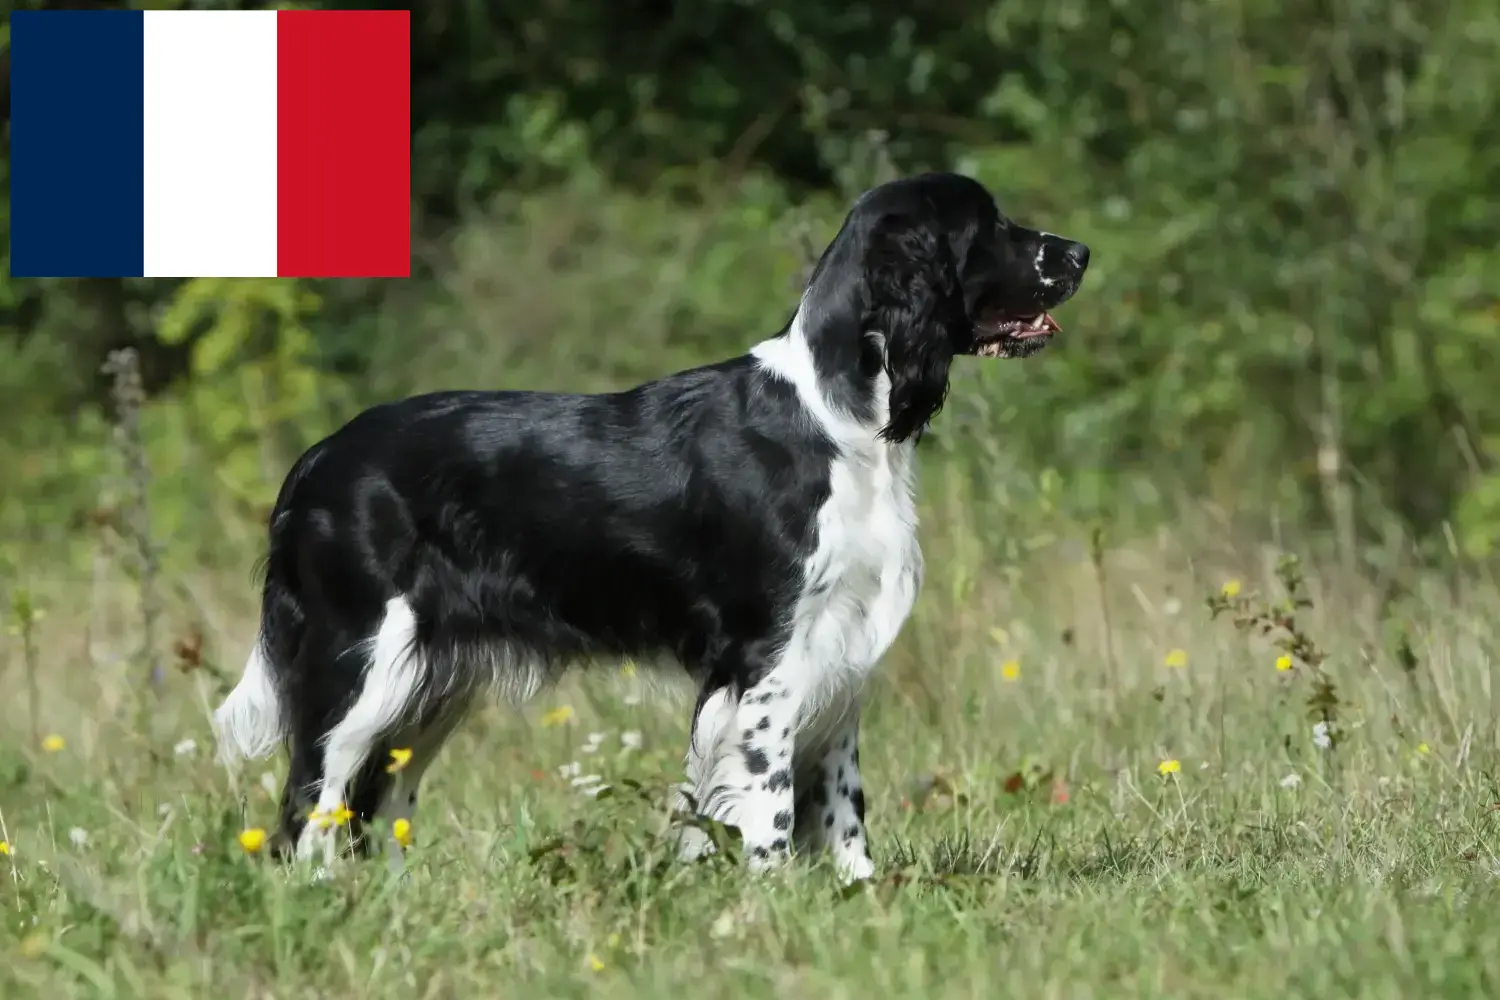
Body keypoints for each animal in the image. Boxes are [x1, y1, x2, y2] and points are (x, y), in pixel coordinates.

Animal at [214, 172, 1092, 881]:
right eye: (990, 225)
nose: (1081, 252)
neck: (838, 422)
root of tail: (316, 460)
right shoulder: (765, 658)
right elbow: (768, 797)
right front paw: (769, 898)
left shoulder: (841, 653)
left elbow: (842, 804)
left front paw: (858, 896)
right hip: (360, 661)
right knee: (311, 799)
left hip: (432, 682)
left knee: (377, 800)